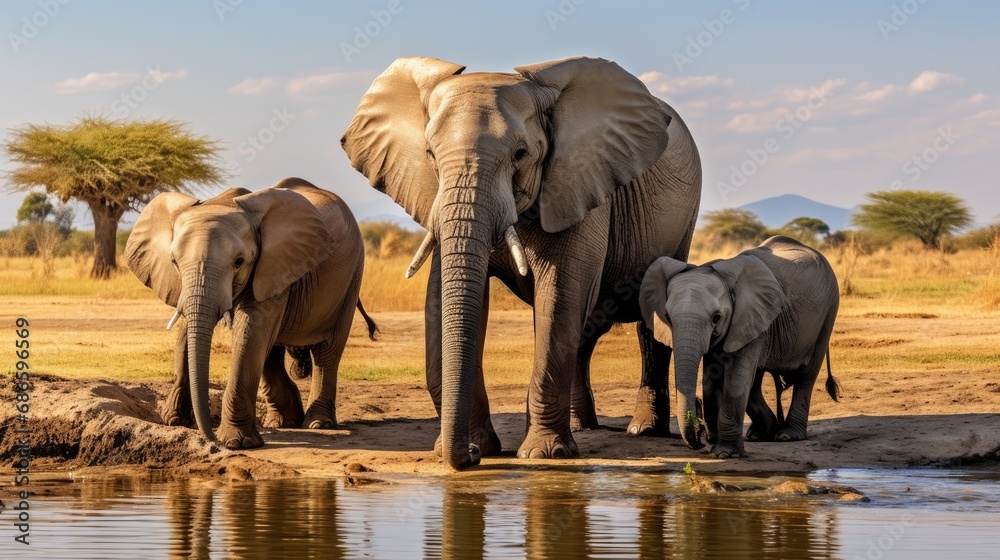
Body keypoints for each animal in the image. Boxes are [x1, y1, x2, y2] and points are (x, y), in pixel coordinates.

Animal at [124, 177, 377, 449]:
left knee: (328, 351)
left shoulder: (276, 264)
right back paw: (282, 421)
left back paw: (318, 424)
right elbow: (187, 330)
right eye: (174, 262)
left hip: (352, 276)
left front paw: (237, 443)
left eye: (239, 262)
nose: (210, 436)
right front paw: (174, 421)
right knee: (272, 352)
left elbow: (250, 332)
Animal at [341, 56, 702, 469]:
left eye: (520, 154)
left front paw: (544, 454)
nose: (469, 455)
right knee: (584, 330)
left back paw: (642, 431)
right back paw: (582, 426)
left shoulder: (577, 179)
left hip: (683, 221)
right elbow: (443, 299)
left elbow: (559, 295)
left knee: (647, 319)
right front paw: (483, 448)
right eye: (430, 154)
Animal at [639, 235, 841, 458]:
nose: (700, 435)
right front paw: (716, 442)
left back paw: (788, 435)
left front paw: (725, 453)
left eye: (716, 318)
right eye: (667, 317)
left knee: (806, 376)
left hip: (829, 311)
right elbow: (712, 378)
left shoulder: (750, 316)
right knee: (755, 380)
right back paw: (760, 434)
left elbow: (736, 379)